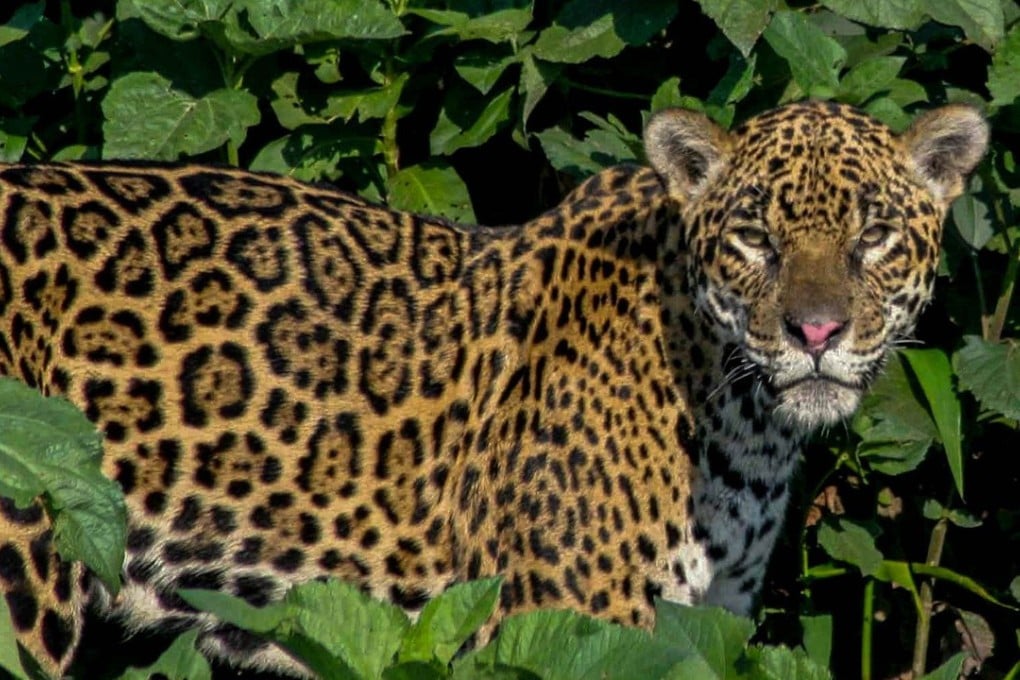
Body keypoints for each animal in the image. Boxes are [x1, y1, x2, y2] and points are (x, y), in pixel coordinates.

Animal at [0, 100, 987, 677]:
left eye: (874, 236)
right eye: (753, 238)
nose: (815, 333)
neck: (742, 423)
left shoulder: (708, 627)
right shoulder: (568, 627)